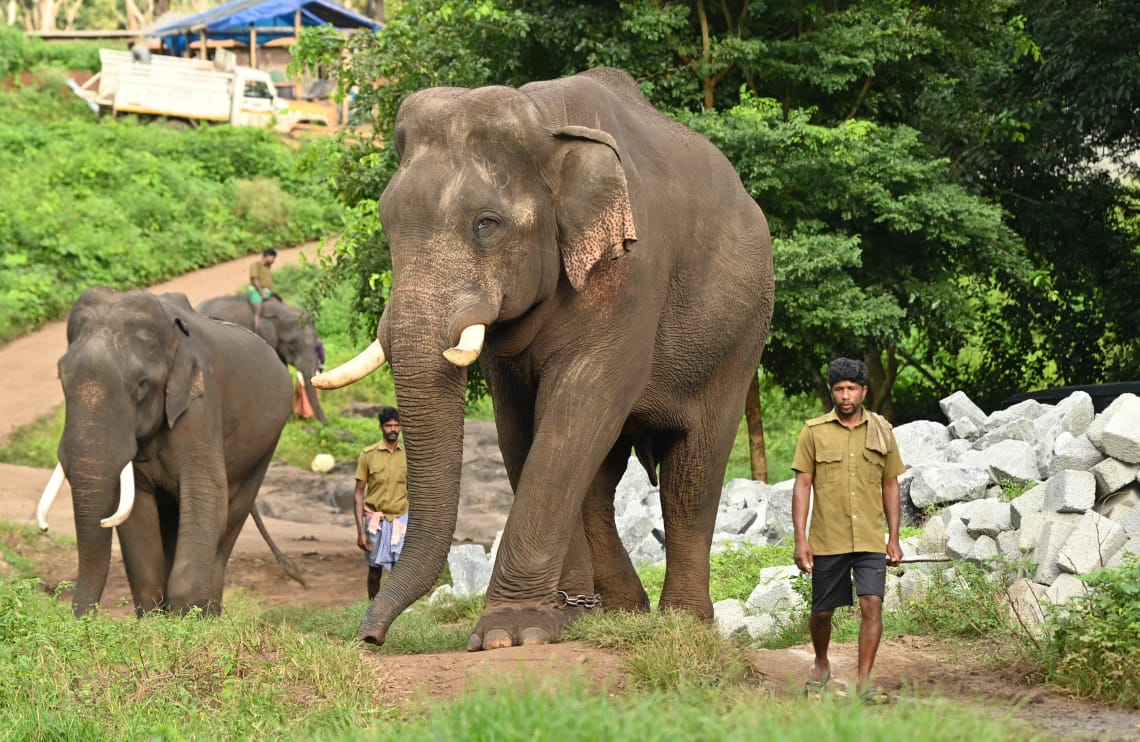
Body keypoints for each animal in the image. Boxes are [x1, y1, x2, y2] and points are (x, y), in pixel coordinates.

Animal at [39, 287, 294, 620]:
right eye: (61, 378)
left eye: (141, 385)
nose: (82, 618)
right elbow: (137, 514)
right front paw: (155, 619)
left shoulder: (200, 408)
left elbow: (206, 496)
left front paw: (187, 618)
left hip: (267, 443)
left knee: (232, 514)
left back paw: (211, 614)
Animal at [312, 68, 775, 651]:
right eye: (386, 222)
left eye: (486, 224)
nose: (369, 638)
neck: (546, 124)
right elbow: (523, 429)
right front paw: (551, 623)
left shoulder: (630, 270)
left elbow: (578, 409)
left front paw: (508, 634)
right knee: (601, 477)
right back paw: (614, 612)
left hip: (741, 335)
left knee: (691, 469)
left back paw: (681, 623)